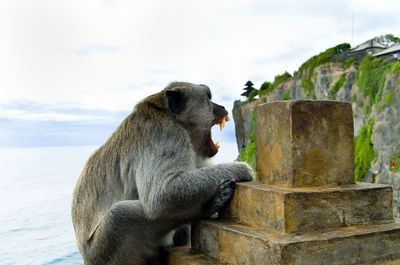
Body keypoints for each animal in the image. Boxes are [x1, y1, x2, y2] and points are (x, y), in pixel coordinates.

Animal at [71, 81, 253, 262]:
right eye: (209, 97)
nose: (221, 106)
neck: (167, 113)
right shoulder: (167, 133)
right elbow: (162, 195)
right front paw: (240, 168)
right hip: (103, 250)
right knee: (120, 214)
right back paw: (206, 208)